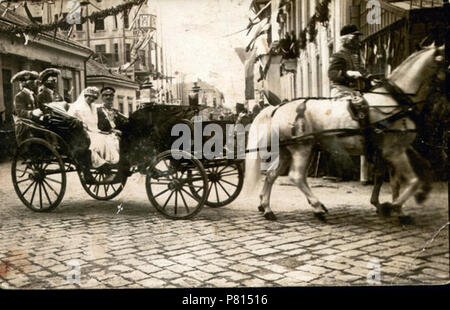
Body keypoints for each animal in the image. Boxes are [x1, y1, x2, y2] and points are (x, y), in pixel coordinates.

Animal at [246, 44, 446, 223]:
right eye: (446, 62)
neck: (394, 101)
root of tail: (277, 108)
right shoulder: (394, 151)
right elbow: (412, 180)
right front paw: (394, 207)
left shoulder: (390, 151)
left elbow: (393, 180)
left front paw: (393, 208)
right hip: (302, 148)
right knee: (296, 176)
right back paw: (317, 208)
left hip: (288, 151)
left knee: (272, 174)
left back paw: (267, 208)